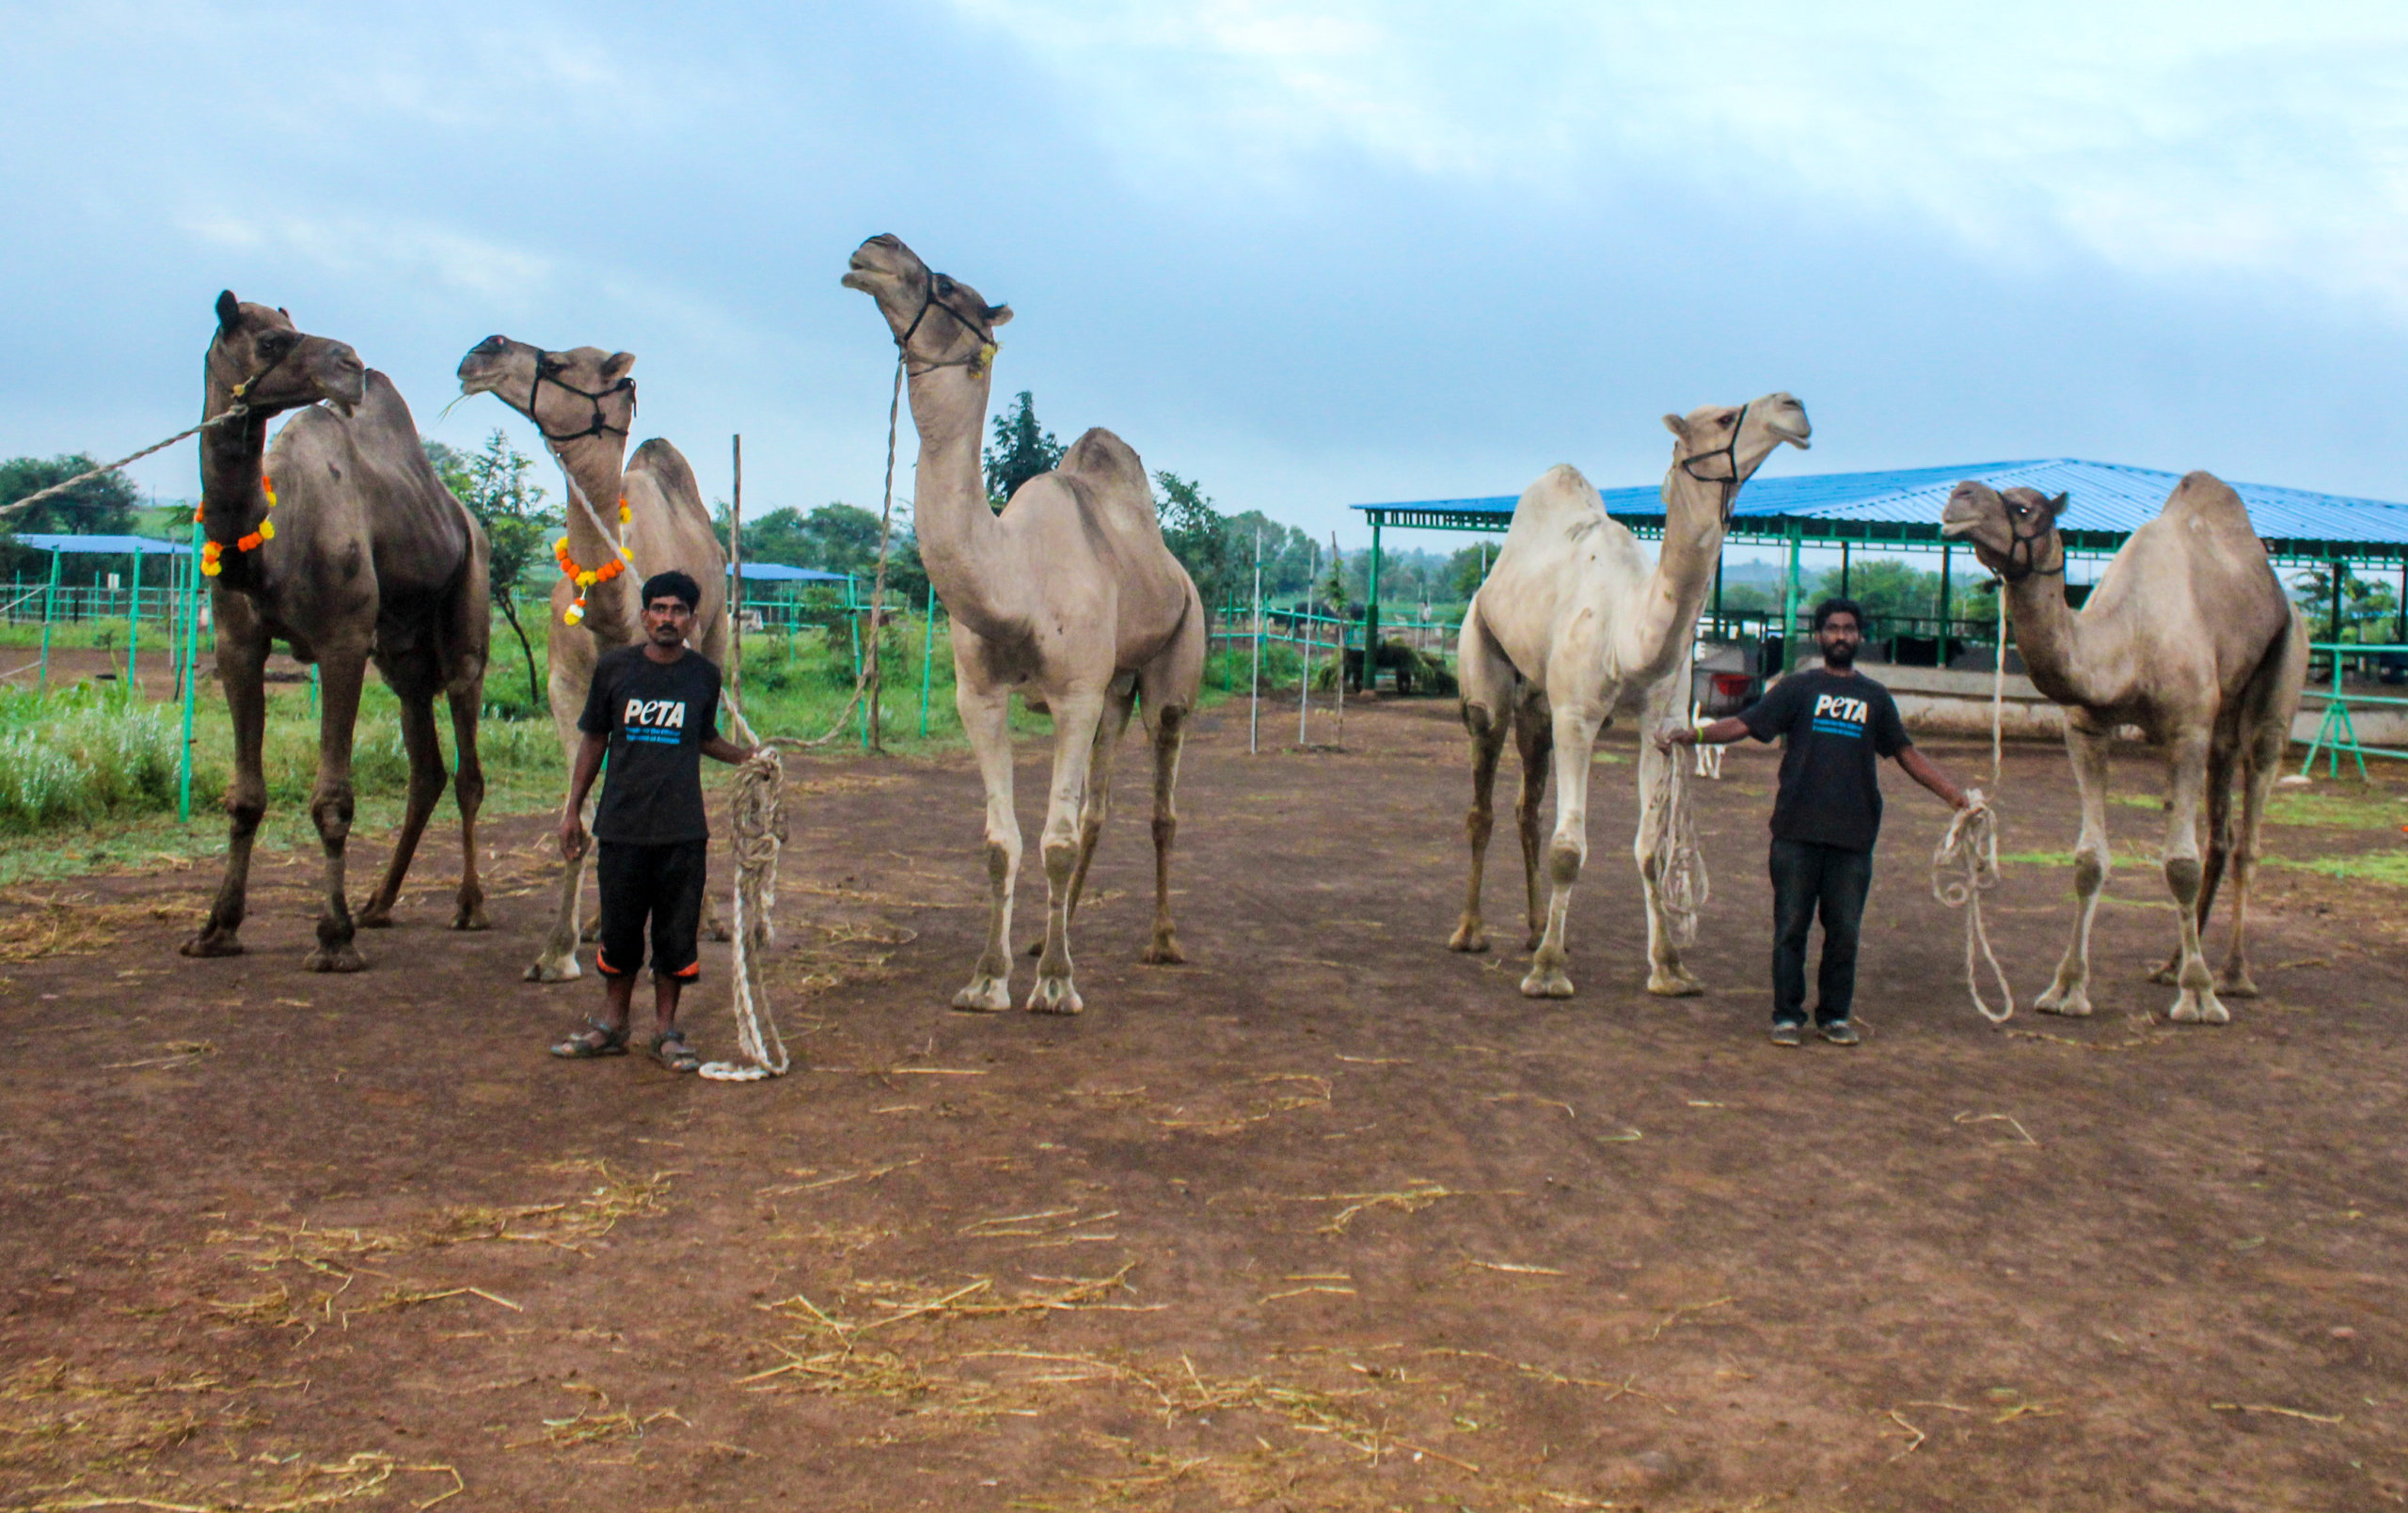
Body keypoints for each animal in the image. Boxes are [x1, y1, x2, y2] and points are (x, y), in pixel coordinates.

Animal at [183, 292, 498, 967]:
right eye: (271, 341)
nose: (349, 363)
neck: (270, 548)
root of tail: (465, 519)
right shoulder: (236, 645)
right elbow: (244, 797)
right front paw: (217, 928)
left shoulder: (343, 641)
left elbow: (333, 799)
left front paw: (333, 937)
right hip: (402, 655)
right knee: (426, 768)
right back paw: (378, 904)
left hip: (468, 610)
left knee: (467, 768)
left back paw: (469, 907)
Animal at [454, 337, 727, 985]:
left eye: (555, 362)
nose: (482, 350)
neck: (614, 615)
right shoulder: (566, 687)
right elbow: (580, 813)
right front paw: (560, 948)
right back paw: (601, 922)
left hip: (722, 635)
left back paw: (711, 919)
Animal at [843, 233, 1204, 1015]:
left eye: (948, 285)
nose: (874, 248)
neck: (1016, 580)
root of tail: (1179, 574)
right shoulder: (979, 694)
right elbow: (1001, 840)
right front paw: (989, 976)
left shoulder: (1072, 693)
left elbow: (1055, 838)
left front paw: (1058, 985)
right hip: (1114, 693)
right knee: (1098, 807)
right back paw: (1050, 935)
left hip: (1171, 669)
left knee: (1160, 804)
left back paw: (1161, 941)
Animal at [1434, 394, 1811, 996]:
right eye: (1725, 417)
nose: (1793, 407)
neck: (1628, 633)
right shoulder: (1577, 716)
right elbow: (1569, 847)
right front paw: (1549, 973)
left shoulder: (1662, 724)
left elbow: (1652, 849)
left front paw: (1669, 968)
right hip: (1484, 671)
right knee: (1483, 802)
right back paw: (1471, 932)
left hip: (1538, 707)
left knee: (1526, 809)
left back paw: (1536, 928)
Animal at [1936, 481, 2311, 1024]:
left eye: (2024, 507)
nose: (1959, 495)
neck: (2129, 638)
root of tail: (2288, 604)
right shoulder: (2085, 728)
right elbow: (2089, 860)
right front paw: (2066, 988)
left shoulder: (2186, 729)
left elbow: (2179, 864)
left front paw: (2198, 996)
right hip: (2220, 727)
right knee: (2220, 836)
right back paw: (2171, 965)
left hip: (2279, 683)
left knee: (2249, 833)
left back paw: (2232, 975)